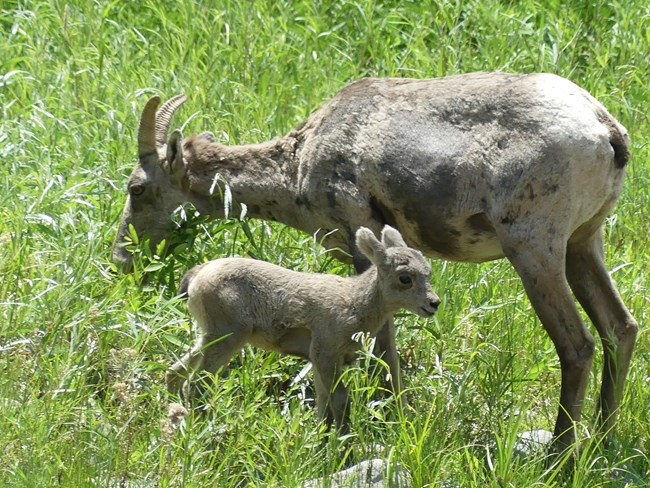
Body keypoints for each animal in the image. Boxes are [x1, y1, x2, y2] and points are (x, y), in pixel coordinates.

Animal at [167, 226, 440, 434]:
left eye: (428, 272)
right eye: (405, 278)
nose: (434, 304)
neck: (354, 303)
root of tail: (196, 277)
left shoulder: (322, 361)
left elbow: (323, 404)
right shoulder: (325, 354)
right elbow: (340, 400)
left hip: (209, 335)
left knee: (175, 371)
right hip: (228, 337)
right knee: (196, 383)